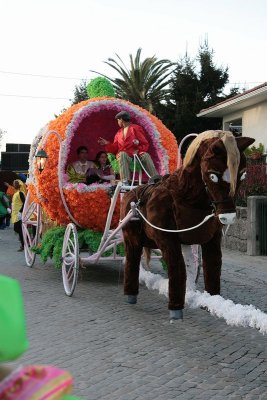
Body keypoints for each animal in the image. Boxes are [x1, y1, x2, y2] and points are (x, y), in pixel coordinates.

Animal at [121, 130, 255, 320]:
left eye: (243, 174)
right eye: (212, 175)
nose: (228, 217)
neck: (185, 199)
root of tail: (131, 191)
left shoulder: (211, 240)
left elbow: (213, 267)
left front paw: (212, 303)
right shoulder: (167, 239)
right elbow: (177, 268)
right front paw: (175, 309)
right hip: (131, 238)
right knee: (131, 260)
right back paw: (131, 295)